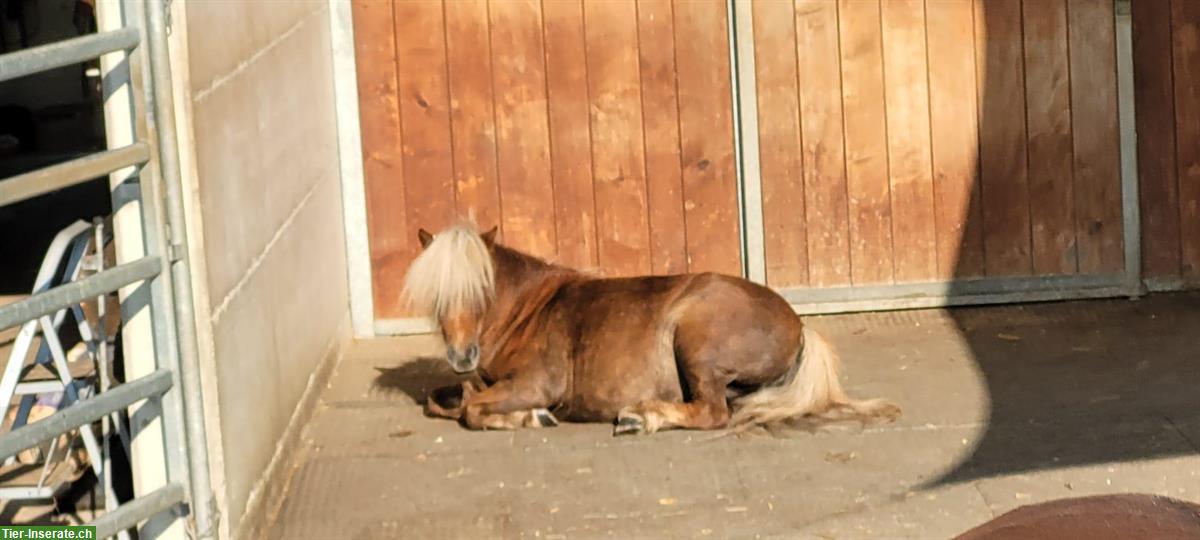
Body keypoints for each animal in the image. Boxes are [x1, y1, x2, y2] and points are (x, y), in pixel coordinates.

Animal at [403, 222, 902, 436]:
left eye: (481, 288)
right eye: (437, 295)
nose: (462, 356)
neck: (529, 311)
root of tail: (798, 326)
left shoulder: (536, 383)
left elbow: (470, 409)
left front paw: (529, 417)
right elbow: (444, 400)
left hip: (696, 342)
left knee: (712, 412)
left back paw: (643, 416)